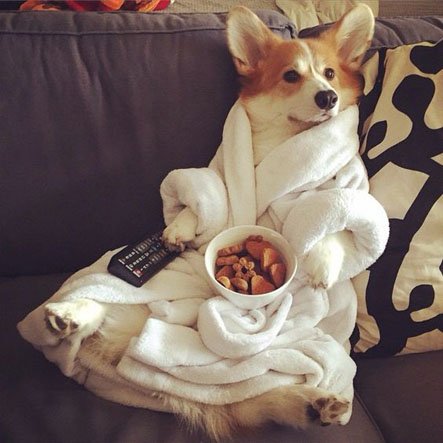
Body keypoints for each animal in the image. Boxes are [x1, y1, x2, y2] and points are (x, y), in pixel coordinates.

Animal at [44, 5, 375, 441]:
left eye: (331, 73)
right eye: (291, 76)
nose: (328, 97)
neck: (286, 139)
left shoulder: (348, 188)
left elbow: (330, 216)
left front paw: (321, 262)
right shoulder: (220, 179)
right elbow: (208, 196)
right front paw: (180, 228)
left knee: (255, 399)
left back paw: (312, 404)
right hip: (132, 288)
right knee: (101, 311)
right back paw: (69, 316)